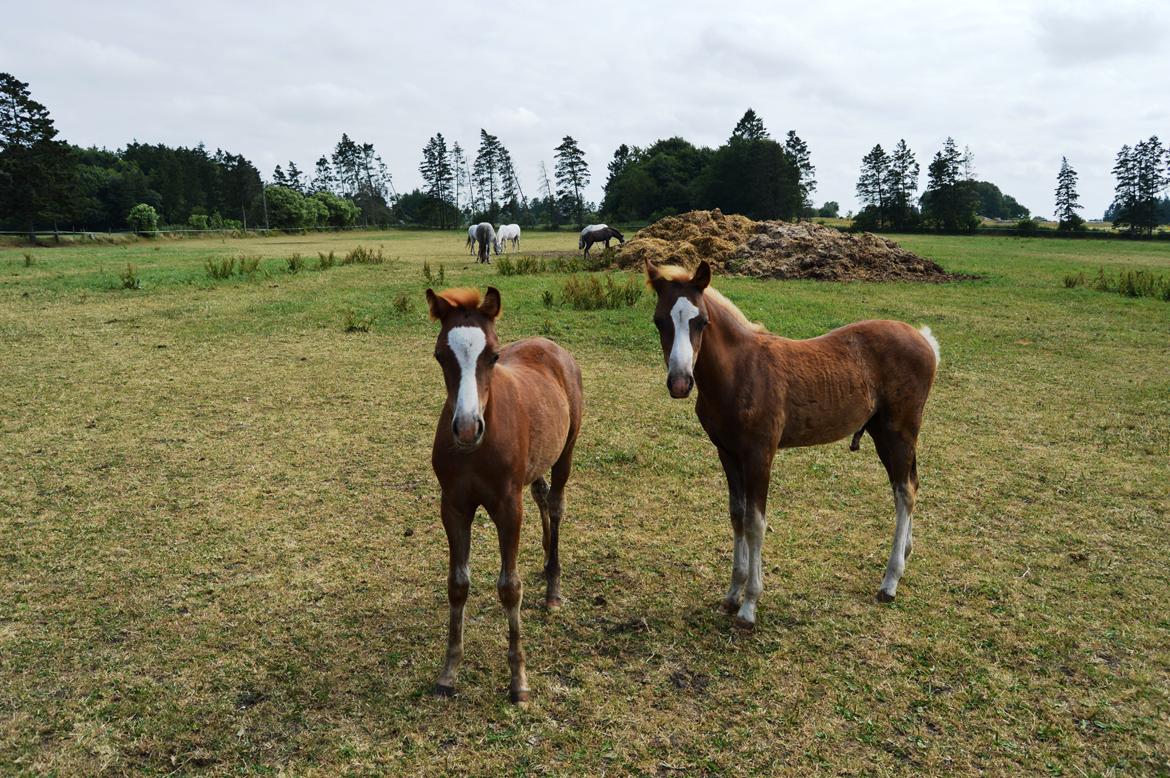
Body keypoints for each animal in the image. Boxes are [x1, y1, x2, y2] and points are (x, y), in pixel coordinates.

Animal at [425, 286, 584, 703]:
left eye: (493, 356)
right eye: (440, 355)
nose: (467, 428)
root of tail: (551, 345)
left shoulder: (508, 508)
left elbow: (510, 588)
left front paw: (519, 681)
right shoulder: (453, 506)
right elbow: (457, 584)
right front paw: (449, 672)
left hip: (566, 450)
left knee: (556, 503)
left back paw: (553, 586)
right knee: (542, 494)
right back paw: (544, 559)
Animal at [645, 260, 938, 628]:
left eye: (702, 321)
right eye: (659, 320)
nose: (681, 382)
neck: (741, 372)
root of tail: (924, 339)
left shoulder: (759, 454)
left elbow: (755, 523)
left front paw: (749, 606)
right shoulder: (727, 453)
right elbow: (737, 516)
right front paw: (732, 594)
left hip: (898, 431)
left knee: (905, 492)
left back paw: (890, 581)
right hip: (885, 433)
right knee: (911, 484)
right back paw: (906, 554)